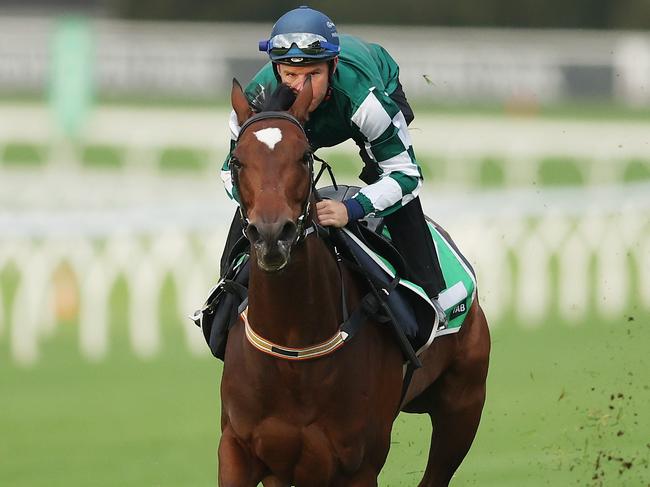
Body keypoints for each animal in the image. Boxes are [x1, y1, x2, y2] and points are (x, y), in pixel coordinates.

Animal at [215, 78, 488, 486]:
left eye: (304, 156)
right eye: (237, 161)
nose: (271, 234)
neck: (294, 351)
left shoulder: (358, 465)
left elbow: (402, 170)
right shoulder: (239, 449)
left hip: (463, 406)